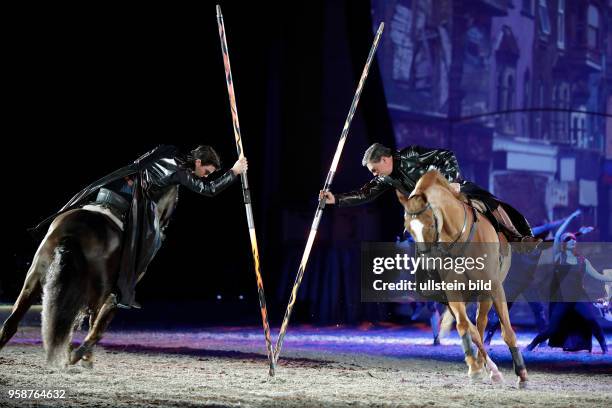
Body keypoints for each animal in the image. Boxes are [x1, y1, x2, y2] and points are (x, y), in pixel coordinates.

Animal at [0, 185, 178, 366]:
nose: (165, 227)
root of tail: (74, 232)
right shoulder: (111, 298)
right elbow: (97, 327)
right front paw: (81, 356)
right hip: (95, 295)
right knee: (81, 325)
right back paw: (75, 355)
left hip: (33, 282)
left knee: (12, 323)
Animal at [400, 170, 528, 388]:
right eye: (409, 229)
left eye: (431, 224)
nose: (428, 264)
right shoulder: (452, 291)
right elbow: (462, 325)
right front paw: (474, 367)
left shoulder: (494, 287)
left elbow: (507, 331)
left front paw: (521, 373)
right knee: (474, 328)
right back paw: (484, 367)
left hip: (485, 294)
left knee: (481, 322)